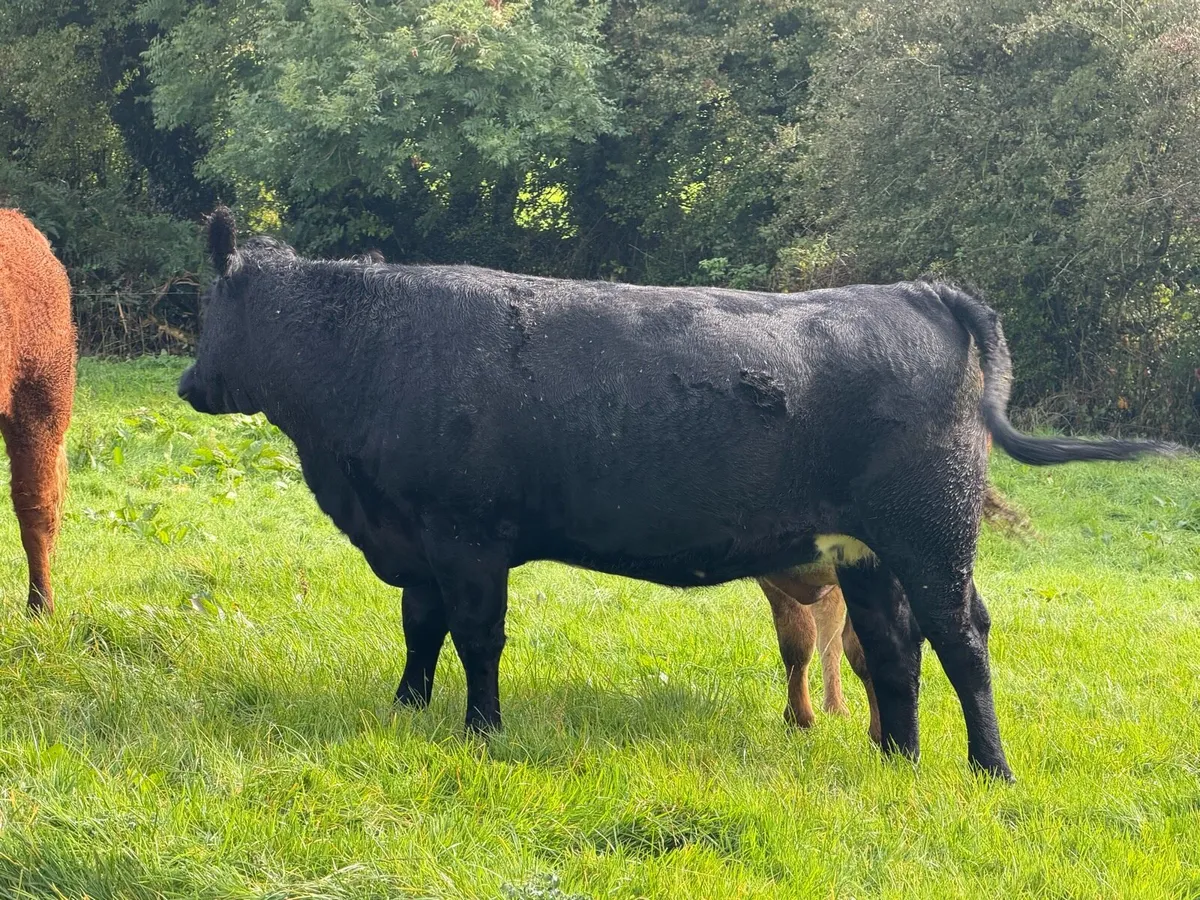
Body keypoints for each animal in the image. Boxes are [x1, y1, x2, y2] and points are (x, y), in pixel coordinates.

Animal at [179, 207, 1179, 780]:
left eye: (209, 304)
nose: (188, 382)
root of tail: (917, 291)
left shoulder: (466, 536)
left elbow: (476, 637)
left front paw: (482, 731)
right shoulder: (414, 538)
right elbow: (420, 630)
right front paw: (406, 710)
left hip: (934, 536)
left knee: (963, 641)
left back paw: (988, 771)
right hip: (867, 553)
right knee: (893, 651)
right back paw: (895, 759)